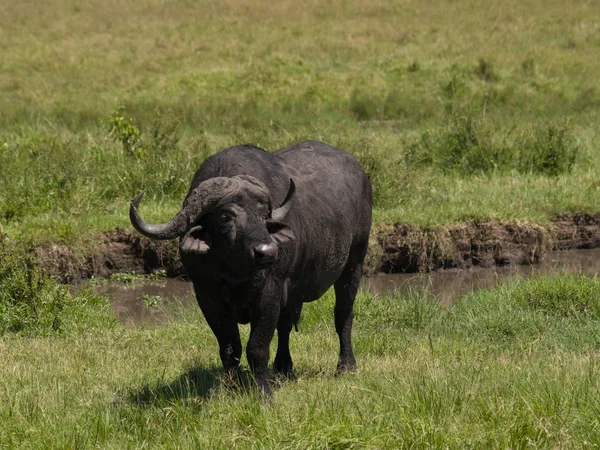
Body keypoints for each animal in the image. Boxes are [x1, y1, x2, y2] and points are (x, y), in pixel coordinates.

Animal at [130, 140, 370, 394]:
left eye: (263, 215)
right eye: (225, 217)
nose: (268, 251)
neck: (234, 273)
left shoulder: (269, 293)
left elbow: (257, 347)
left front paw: (263, 391)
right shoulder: (207, 297)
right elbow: (229, 347)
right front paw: (229, 387)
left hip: (355, 261)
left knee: (343, 314)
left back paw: (346, 365)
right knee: (286, 323)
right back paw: (284, 367)